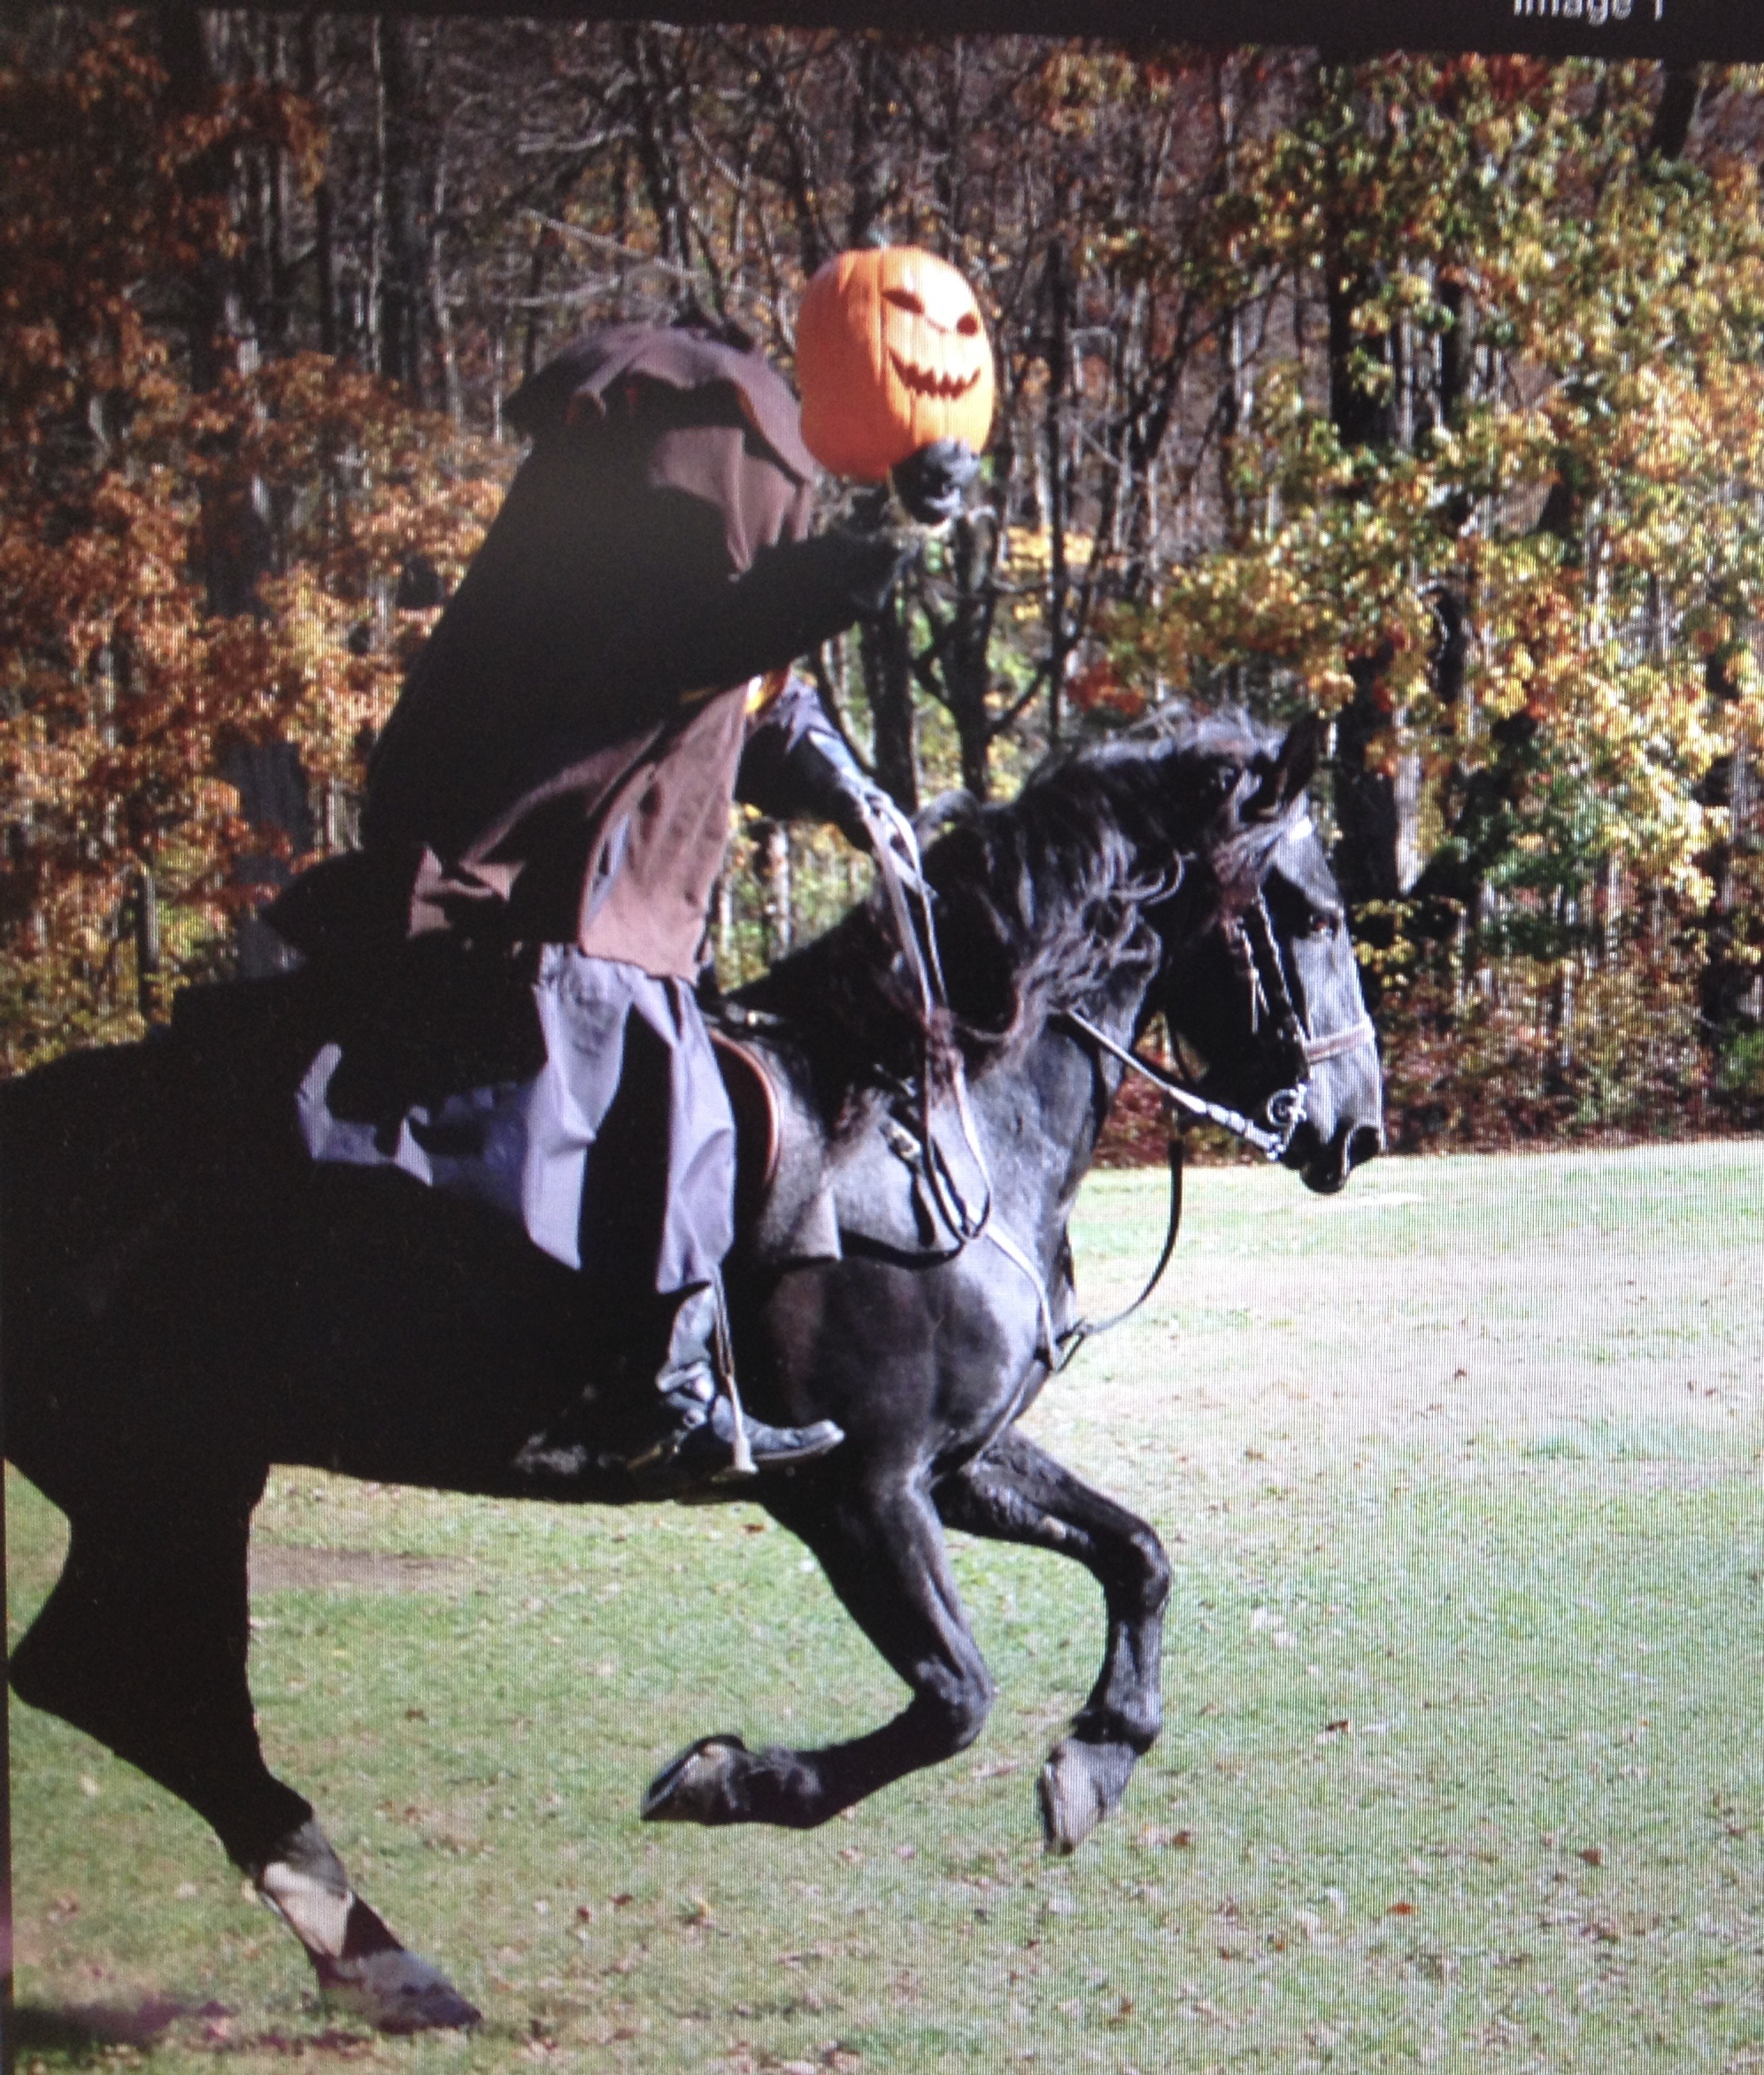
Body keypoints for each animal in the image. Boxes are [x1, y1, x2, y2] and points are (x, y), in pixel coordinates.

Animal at [1, 707, 1383, 2032]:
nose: (1356, 1129)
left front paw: (1097, 1757)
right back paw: (370, 1946)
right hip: (164, 1480)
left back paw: (368, 1951)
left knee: (109, 1683)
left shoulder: (959, 1465)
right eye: (1312, 915)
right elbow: (955, 1697)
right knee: (133, 1685)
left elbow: (1135, 1556)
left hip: (170, 1484)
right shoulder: (858, 1491)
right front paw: (730, 1782)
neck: (929, 1121)